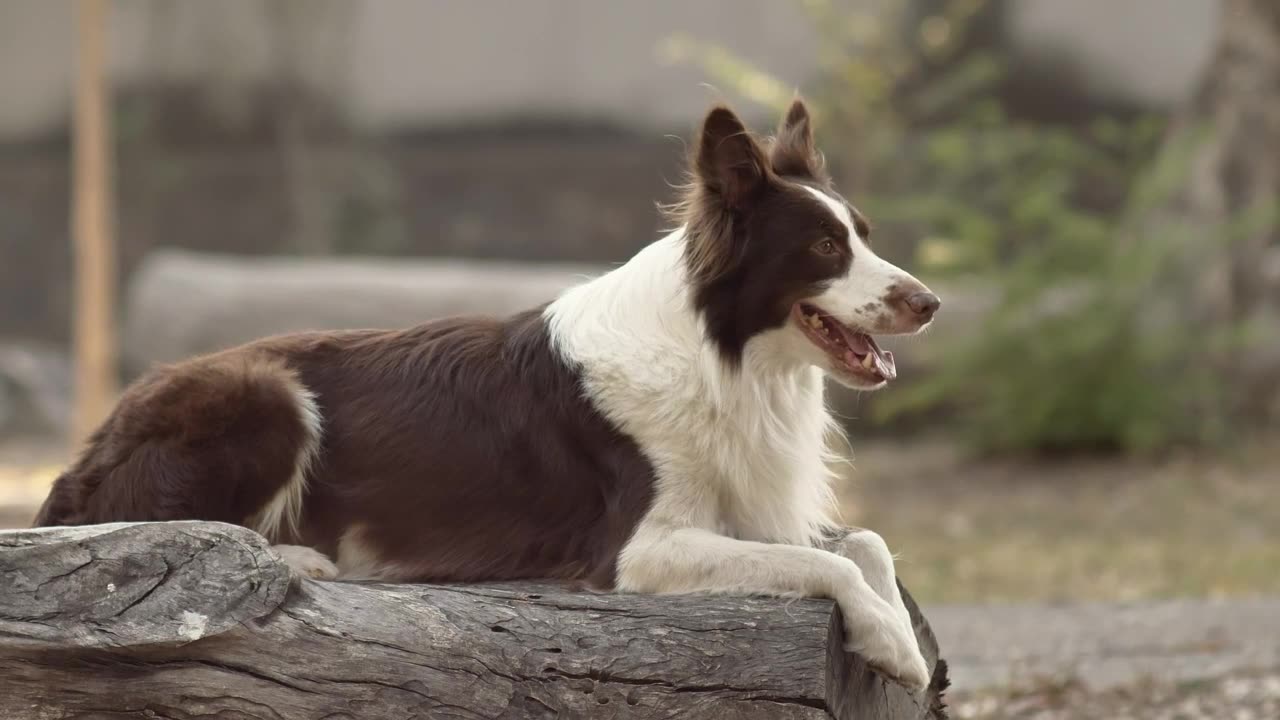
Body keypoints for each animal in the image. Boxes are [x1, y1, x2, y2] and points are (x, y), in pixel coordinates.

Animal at [35, 98, 942, 686]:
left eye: (864, 236)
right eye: (824, 247)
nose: (930, 303)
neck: (723, 355)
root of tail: (97, 436)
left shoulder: (754, 510)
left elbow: (866, 544)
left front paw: (901, 633)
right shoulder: (638, 548)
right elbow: (825, 564)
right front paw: (890, 642)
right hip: (263, 396)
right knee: (160, 522)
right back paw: (299, 555)